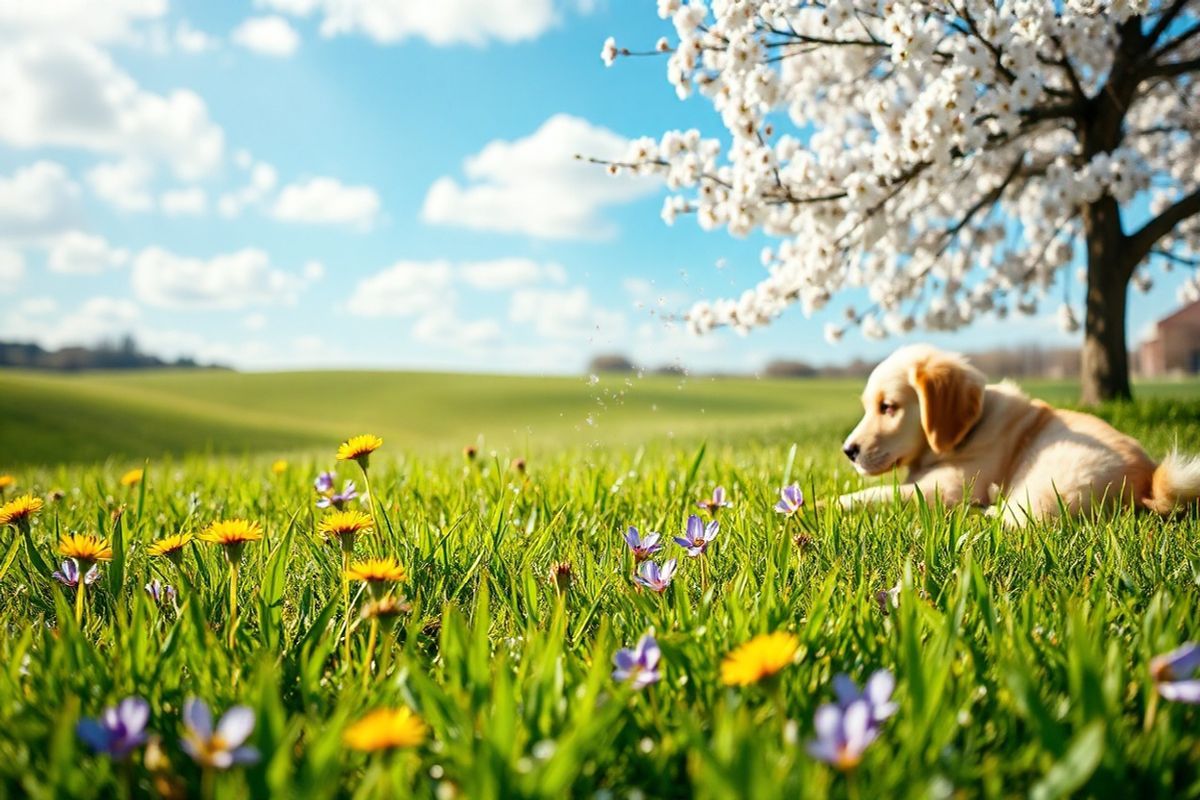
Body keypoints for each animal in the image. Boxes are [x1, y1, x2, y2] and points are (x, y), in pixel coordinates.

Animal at [835, 343, 1200, 525]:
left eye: (888, 407)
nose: (848, 451)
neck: (970, 429)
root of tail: (1149, 480)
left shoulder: (943, 489)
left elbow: (877, 492)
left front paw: (828, 503)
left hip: (1044, 485)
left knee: (1020, 520)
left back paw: (983, 513)